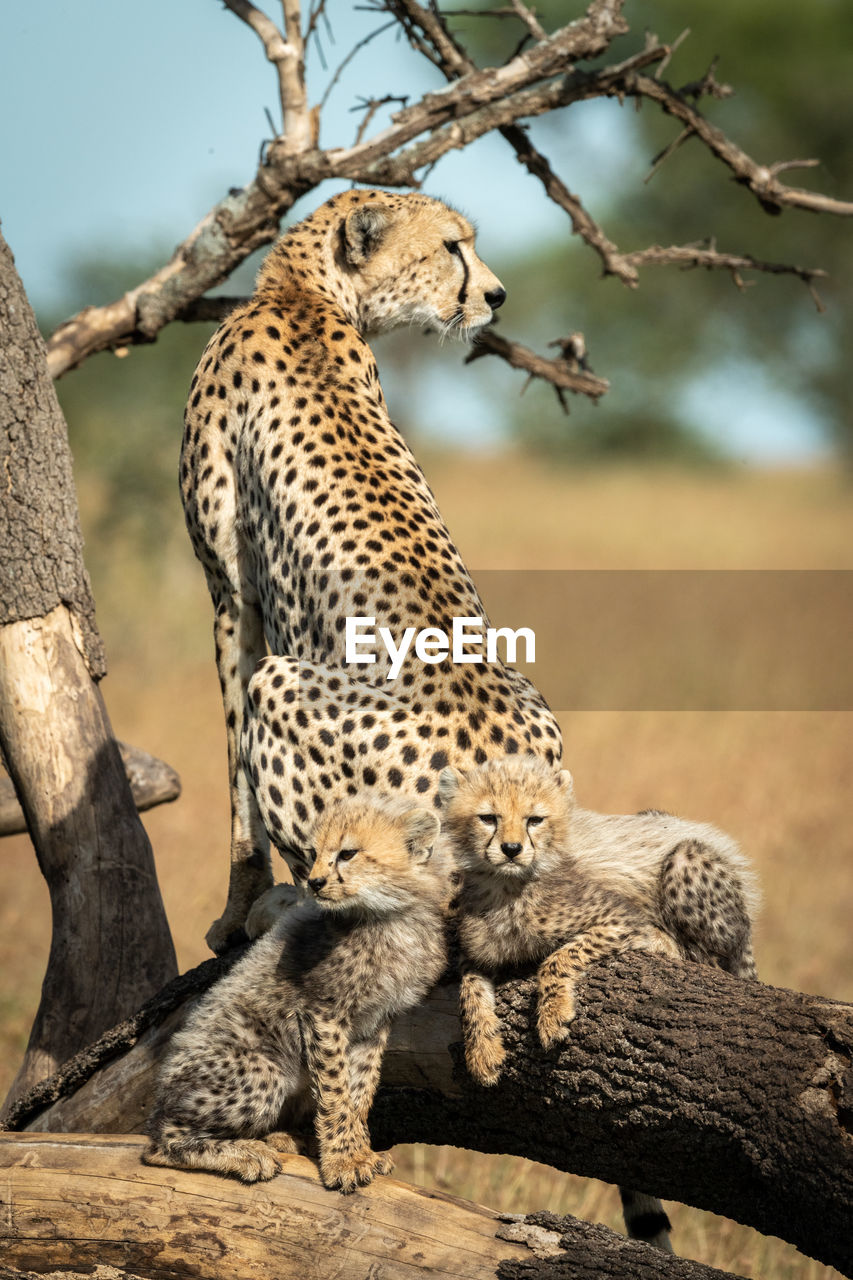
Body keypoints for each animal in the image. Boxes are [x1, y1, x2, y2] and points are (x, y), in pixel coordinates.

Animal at [180, 189, 558, 952]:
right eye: (451, 246)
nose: (497, 296)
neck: (301, 293)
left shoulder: (231, 597)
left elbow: (236, 781)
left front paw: (236, 912)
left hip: (282, 681)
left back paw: (283, 906)